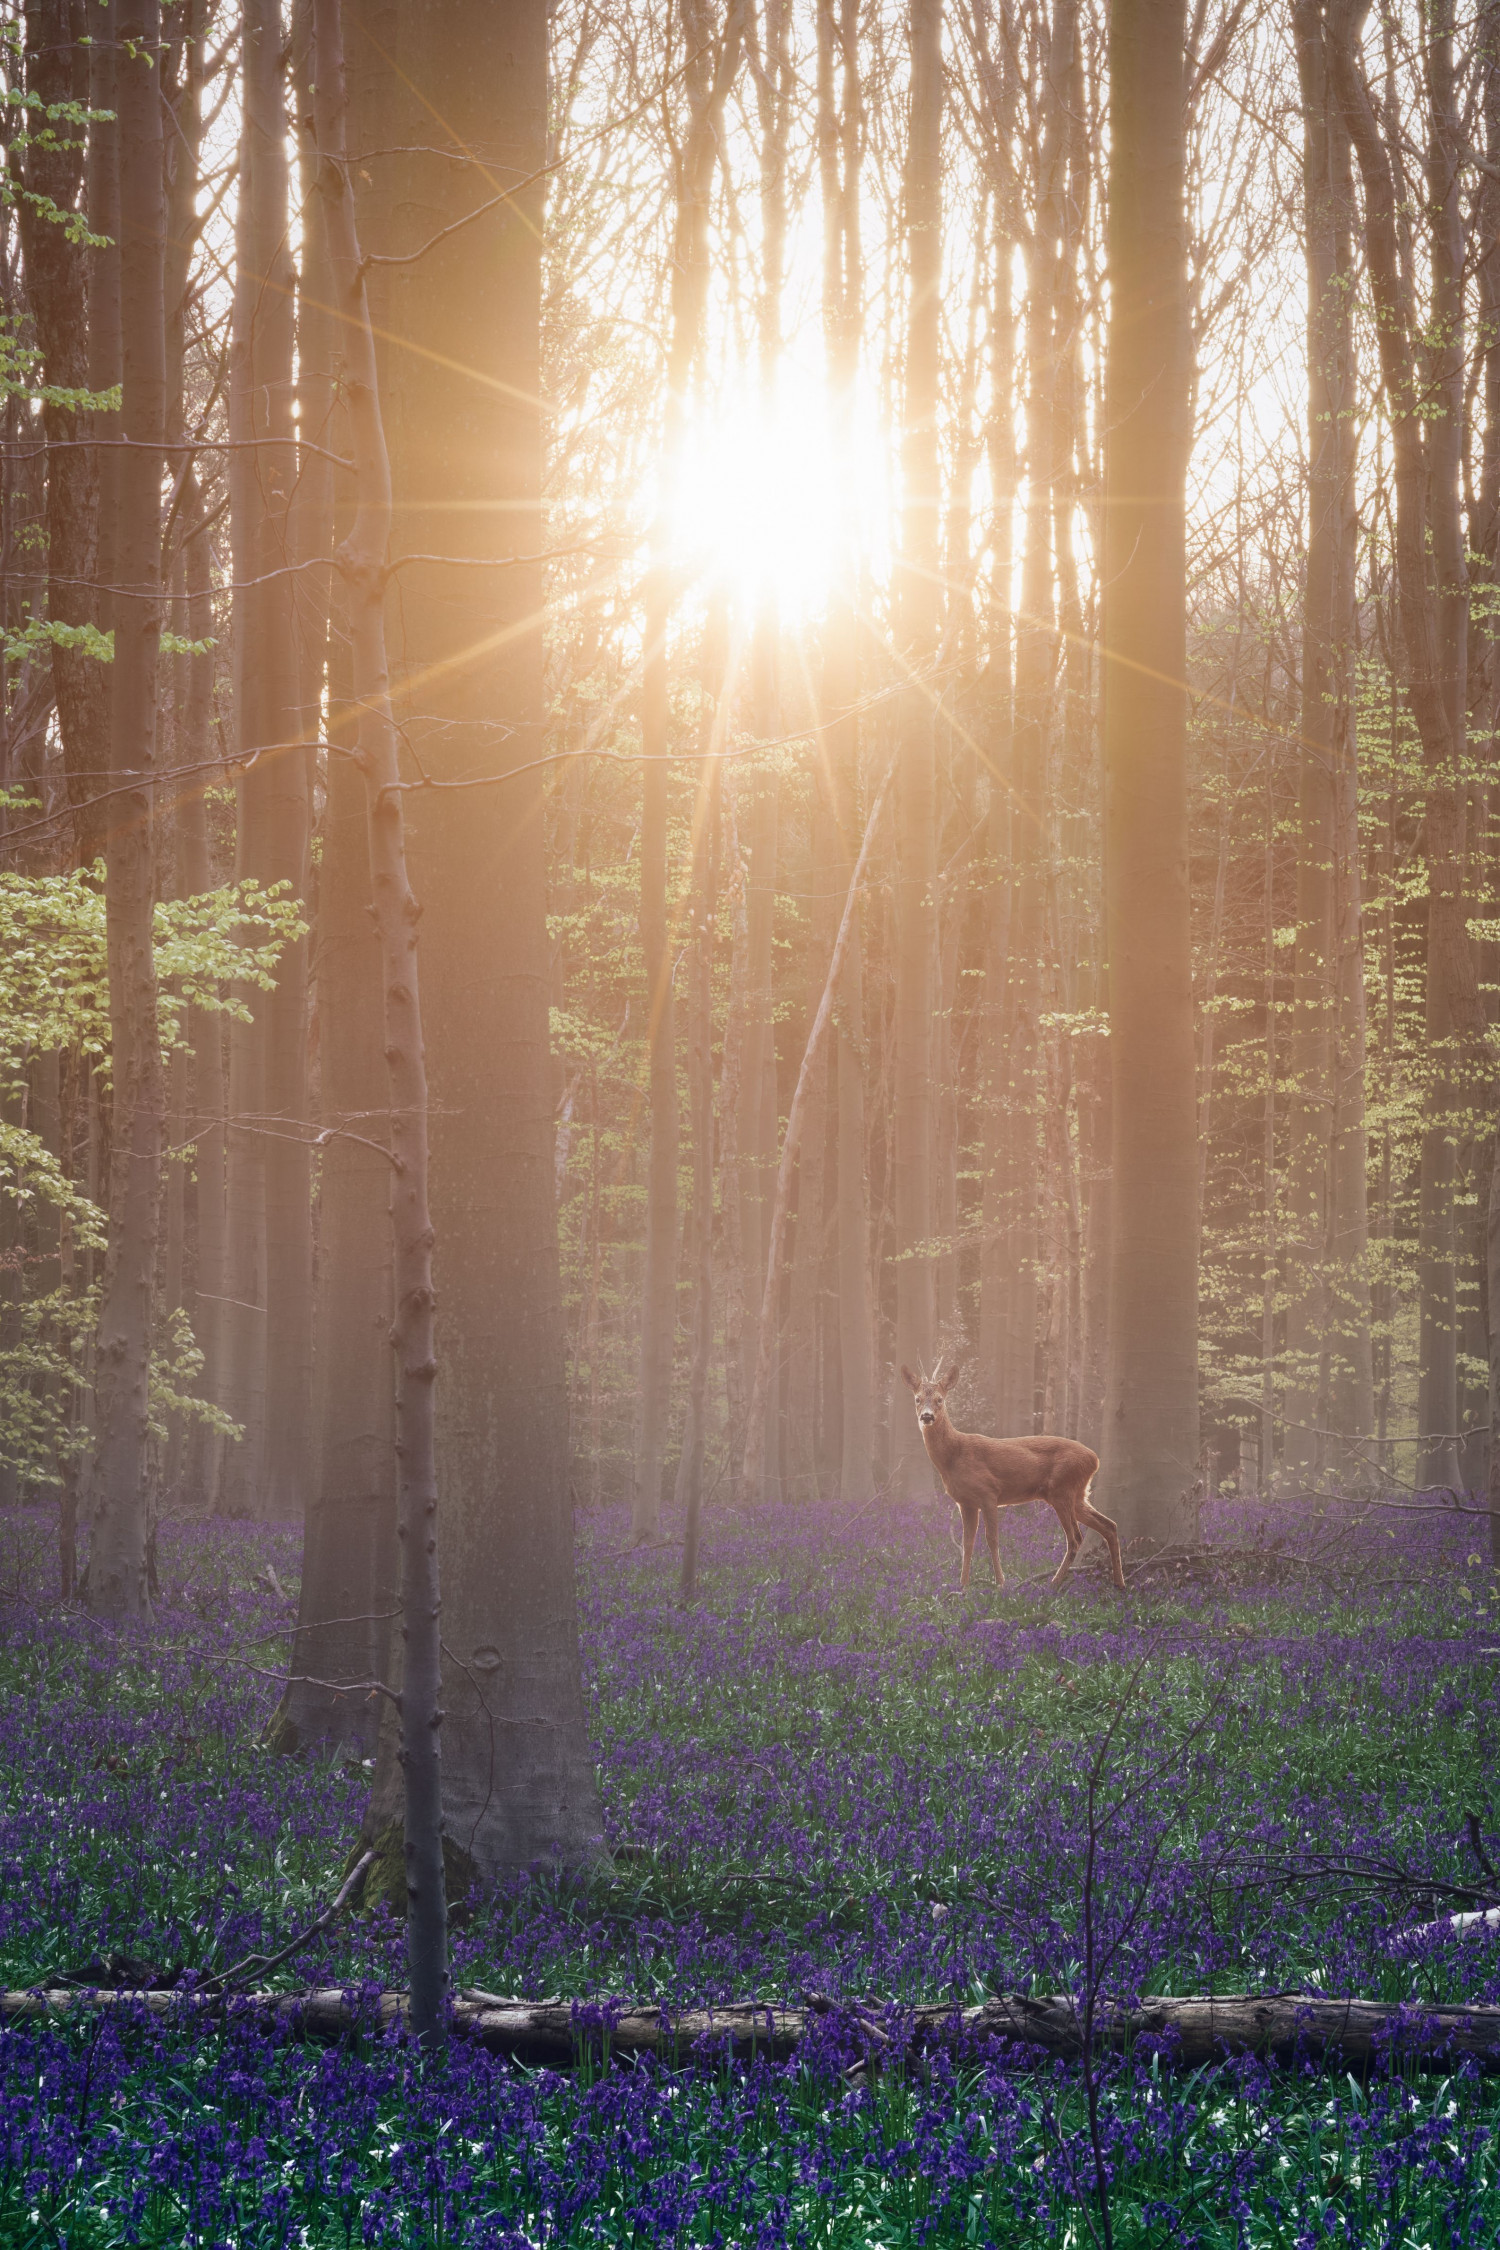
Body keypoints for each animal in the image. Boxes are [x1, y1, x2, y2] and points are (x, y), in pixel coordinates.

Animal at [904, 1359, 1124, 1593]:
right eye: (917, 1399)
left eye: (940, 1399)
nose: (927, 1416)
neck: (954, 1456)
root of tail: (1095, 1459)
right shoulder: (966, 1502)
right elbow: (967, 1542)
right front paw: (963, 1586)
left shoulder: (989, 1493)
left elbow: (992, 1539)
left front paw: (1001, 1583)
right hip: (1077, 1494)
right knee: (1109, 1525)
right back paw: (1119, 1583)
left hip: (1062, 1490)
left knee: (1075, 1538)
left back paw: (1052, 1584)